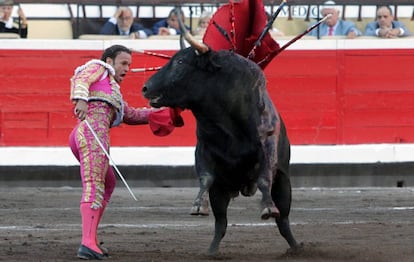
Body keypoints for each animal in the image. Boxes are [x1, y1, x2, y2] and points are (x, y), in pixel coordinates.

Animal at [142, 47, 300, 256]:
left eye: (181, 62)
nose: (145, 88)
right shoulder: (203, 152)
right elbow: (206, 178)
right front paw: (198, 206)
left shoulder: (268, 144)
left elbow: (264, 178)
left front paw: (267, 208)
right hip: (221, 191)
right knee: (221, 223)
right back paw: (211, 252)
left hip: (283, 182)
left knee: (283, 221)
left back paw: (296, 248)